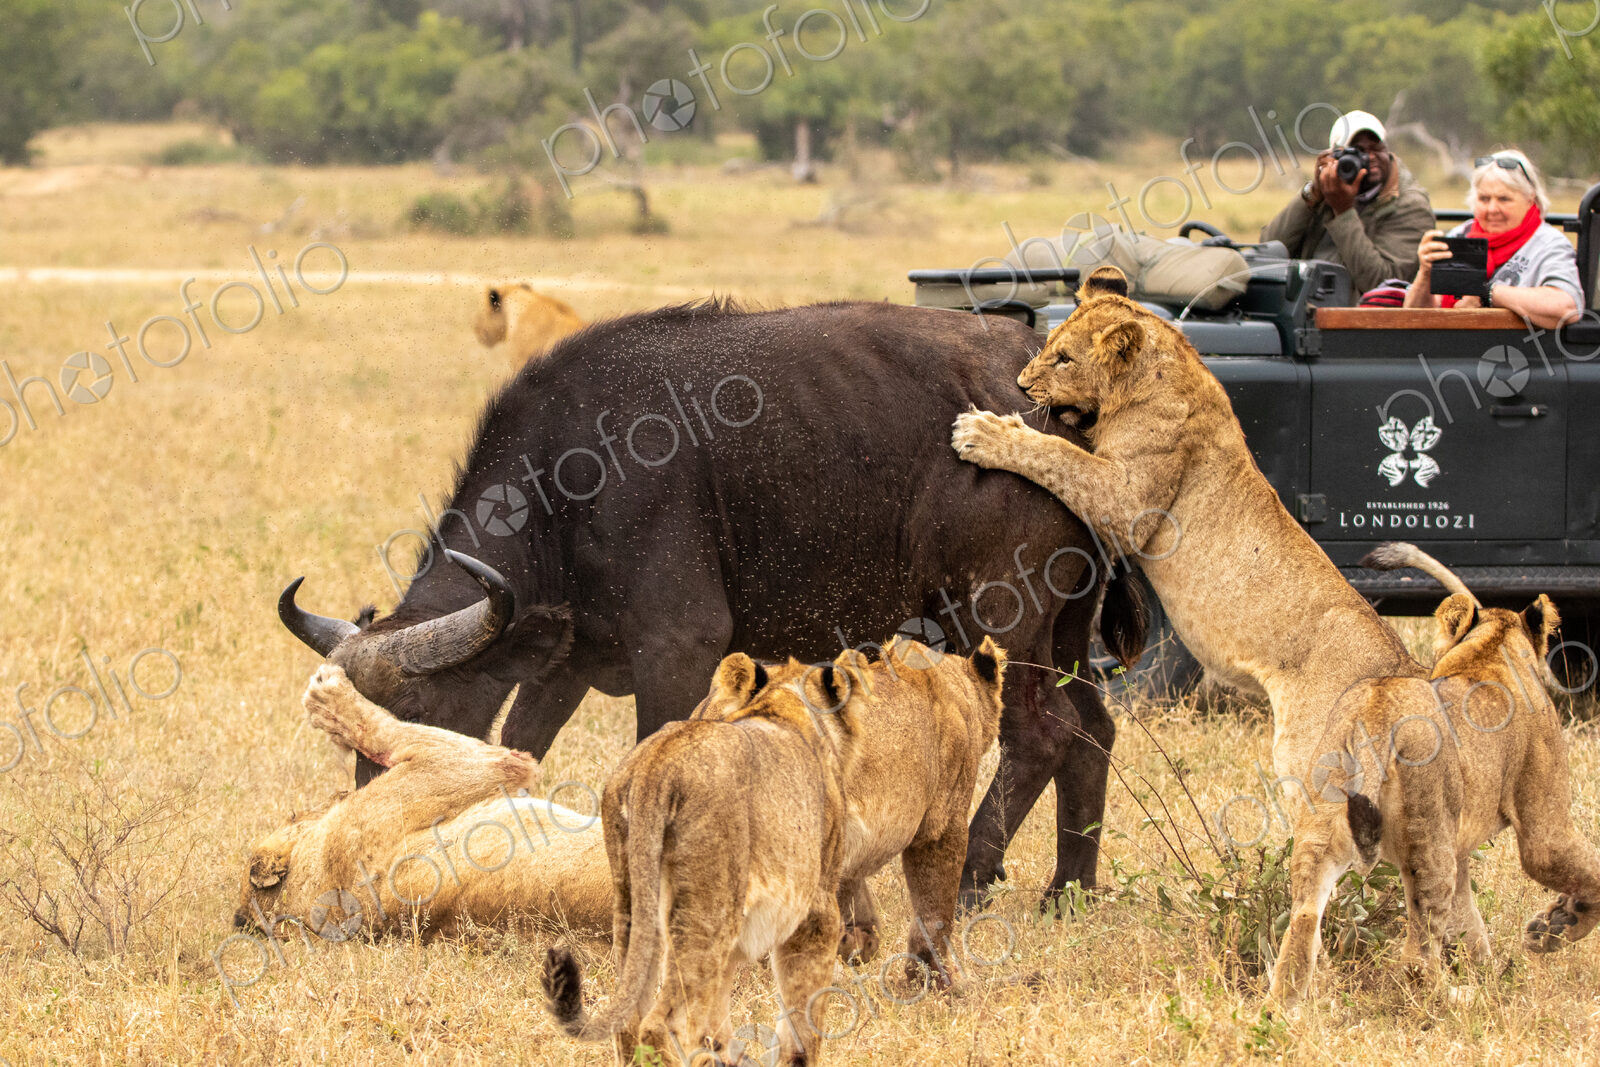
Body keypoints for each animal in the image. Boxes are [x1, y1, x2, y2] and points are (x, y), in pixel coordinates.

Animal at [280, 299, 1146, 905]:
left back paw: (972, 878)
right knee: (1091, 729)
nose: (370, 833)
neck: (571, 477)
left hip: (1000, 616)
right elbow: (523, 746)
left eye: (415, 715)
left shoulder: (677, 652)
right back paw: (1068, 888)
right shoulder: (566, 663)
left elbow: (649, 760)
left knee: (1041, 732)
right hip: (1068, 627)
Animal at [542, 636, 1006, 1066]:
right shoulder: (941, 827)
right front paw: (933, 984)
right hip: (708, 915)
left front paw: (861, 944)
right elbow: (934, 911)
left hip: (635, 909)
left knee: (634, 1017)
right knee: (665, 1021)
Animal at [1266, 543, 1600, 1007]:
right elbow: (1591, 873)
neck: (1489, 650)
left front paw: (1508, 957)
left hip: (1321, 832)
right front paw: (1555, 930)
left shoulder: (1461, 847)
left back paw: (1281, 1009)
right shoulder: (1545, 832)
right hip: (1430, 839)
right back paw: (1463, 999)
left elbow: (1471, 924)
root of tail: (1376, 709)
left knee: (1300, 924)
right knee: (1418, 962)